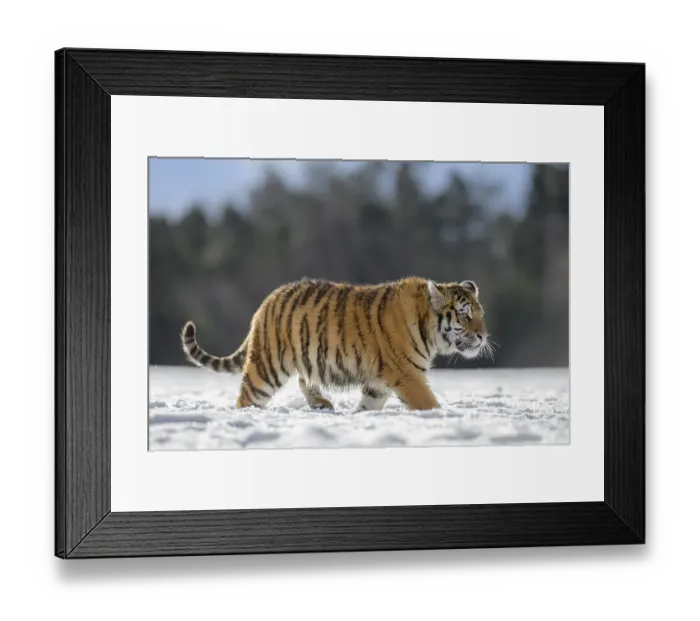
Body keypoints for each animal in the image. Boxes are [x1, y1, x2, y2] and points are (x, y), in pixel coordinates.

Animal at [180, 276, 491, 412]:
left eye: (481, 314)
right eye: (465, 315)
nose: (483, 336)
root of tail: (266, 302)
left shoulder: (379, 383)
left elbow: (368, 406)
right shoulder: (408, 374)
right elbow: (429, 403)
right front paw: (442, 418)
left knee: (304, 380)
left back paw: (322, 403)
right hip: (267, 367)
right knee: (246, 397)